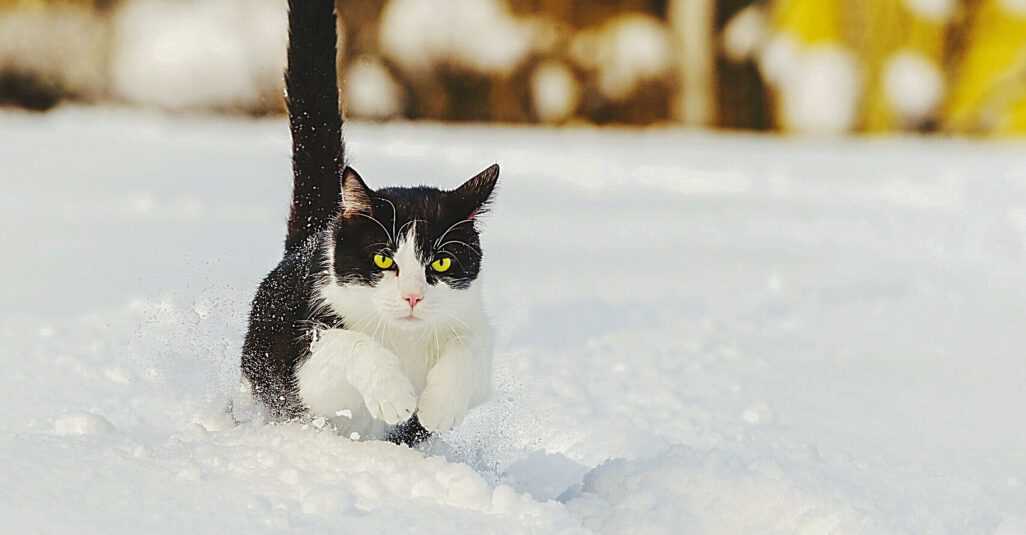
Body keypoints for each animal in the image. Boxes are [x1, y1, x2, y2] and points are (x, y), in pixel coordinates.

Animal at [240, 0, 496, 445]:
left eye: (442, 262)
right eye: (382, 259)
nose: (413, 297)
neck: (404, 339)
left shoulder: (475, 325)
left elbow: (469, 350)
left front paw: (438, 408)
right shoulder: (305, 363)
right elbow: (350, 343)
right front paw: (393, 396)